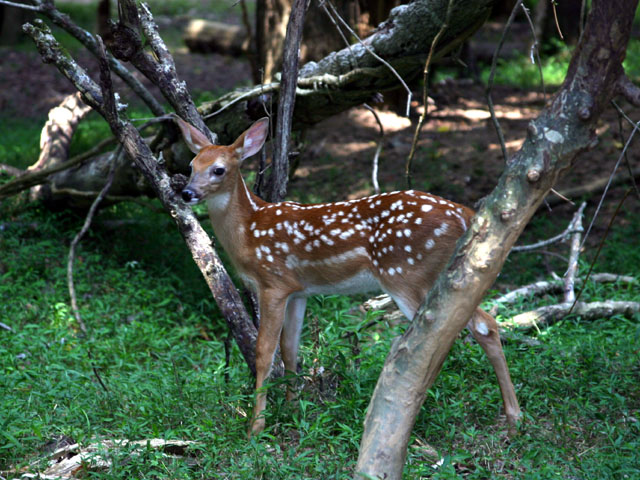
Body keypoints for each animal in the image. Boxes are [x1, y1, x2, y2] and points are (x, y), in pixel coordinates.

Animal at [175, 115, 520, 436]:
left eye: (219, 169)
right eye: (191, 165)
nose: (187, 193)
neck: (248, 230)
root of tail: (463, 214)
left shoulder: (272, 282)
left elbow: (264, 352)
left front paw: (256, 426)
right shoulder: (298, 290)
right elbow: (290, 349)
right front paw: (292, 409)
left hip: (406, 273)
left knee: (441, 337)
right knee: (485, 324)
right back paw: (513, 417)